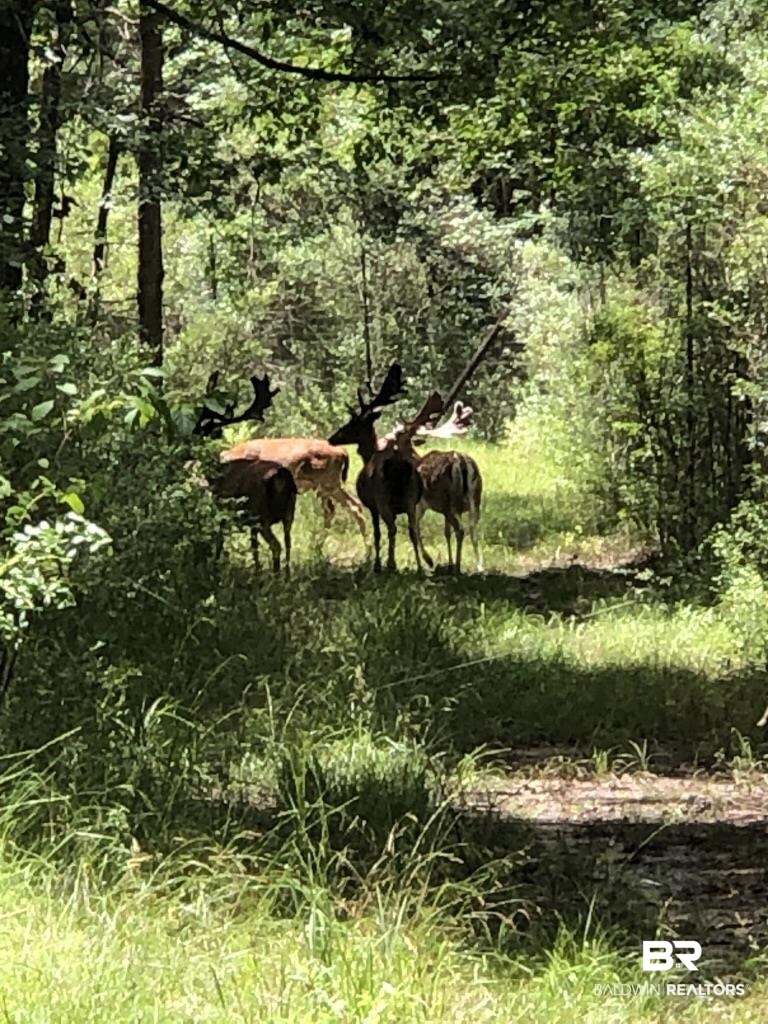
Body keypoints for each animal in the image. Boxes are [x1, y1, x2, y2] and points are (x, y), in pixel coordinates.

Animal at [194, 373, 297, 573]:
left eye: (201, 431)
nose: (192, 432)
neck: (216, 474)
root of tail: (281, 476)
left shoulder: (223, 508)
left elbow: (219, 541)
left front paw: (215, 568)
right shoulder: (250, 523)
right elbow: (254, 547)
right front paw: (256, 571)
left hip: (262, 513)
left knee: (277, 546)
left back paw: (275, 576)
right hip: (289, 511)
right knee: (288, 544)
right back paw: (287, 575)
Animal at [327, 364, 433, 574]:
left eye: (353, 423)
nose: (332, 438)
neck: (370, 454)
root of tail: (398, 468)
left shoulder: (372, 505)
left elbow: (377, 534)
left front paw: (377, 564)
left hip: (382, 497)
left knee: (392, 528)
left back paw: (391, 564)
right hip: (410, 497)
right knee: (412, 529)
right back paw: (419, 567)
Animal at [384, 396, 483, 574]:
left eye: (397, 435)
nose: (384, 439)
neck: (415, 461)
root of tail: (461, 462)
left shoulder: (417, 503)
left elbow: (416, 529)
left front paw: (428, 561)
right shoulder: (443, 511)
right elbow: (446, 532)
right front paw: (447, 562)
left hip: (450, 501)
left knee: (461, 530)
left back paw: (458, 567)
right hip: (475, 498)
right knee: (473, 529)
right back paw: (479, 567)